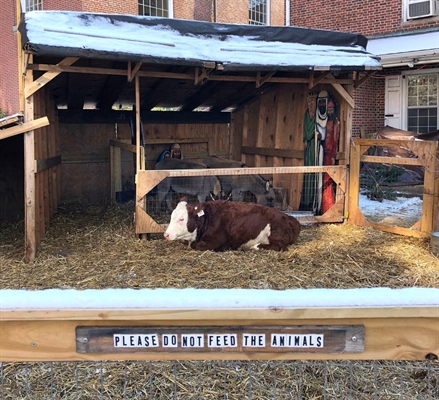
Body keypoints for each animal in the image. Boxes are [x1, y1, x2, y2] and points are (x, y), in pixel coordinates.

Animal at [163, 200, 300, 253]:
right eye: (171, 216)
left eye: (182, 219)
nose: (166, 234)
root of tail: (290, 218)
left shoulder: (215, 241)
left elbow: (198, 246)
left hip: (275, 235)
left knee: (280, 247)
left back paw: (255, 246)